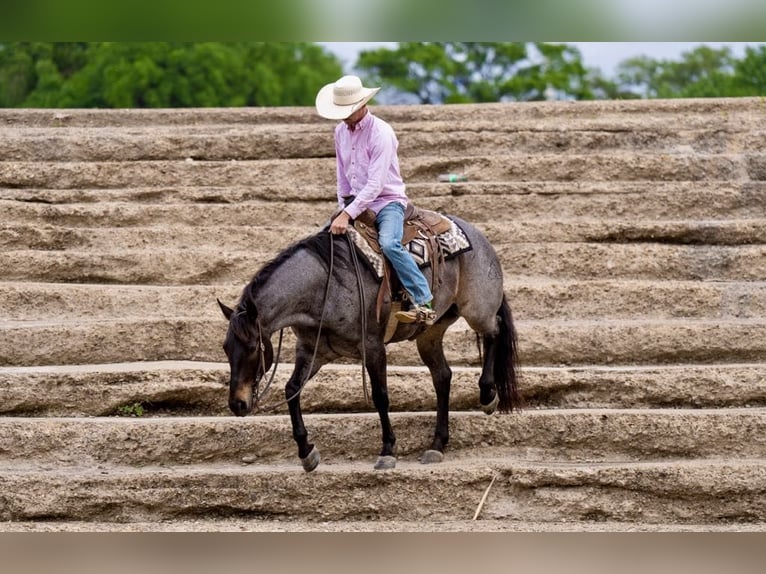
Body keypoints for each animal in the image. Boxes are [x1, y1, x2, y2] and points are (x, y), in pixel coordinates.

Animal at [219, 215, 524, 472]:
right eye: (225, 349)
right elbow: (292, 390)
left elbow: (380, 396)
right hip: (430, 333)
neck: (326, 285)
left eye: (252, 348)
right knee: (442, 376)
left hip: (477, 310)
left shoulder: (373, 348)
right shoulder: (312, 351)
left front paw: (387, 451)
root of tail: (478, 236)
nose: (238, 404)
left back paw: (488, 395)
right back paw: (436, 445)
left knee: (495, 329)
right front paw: (307, 453)